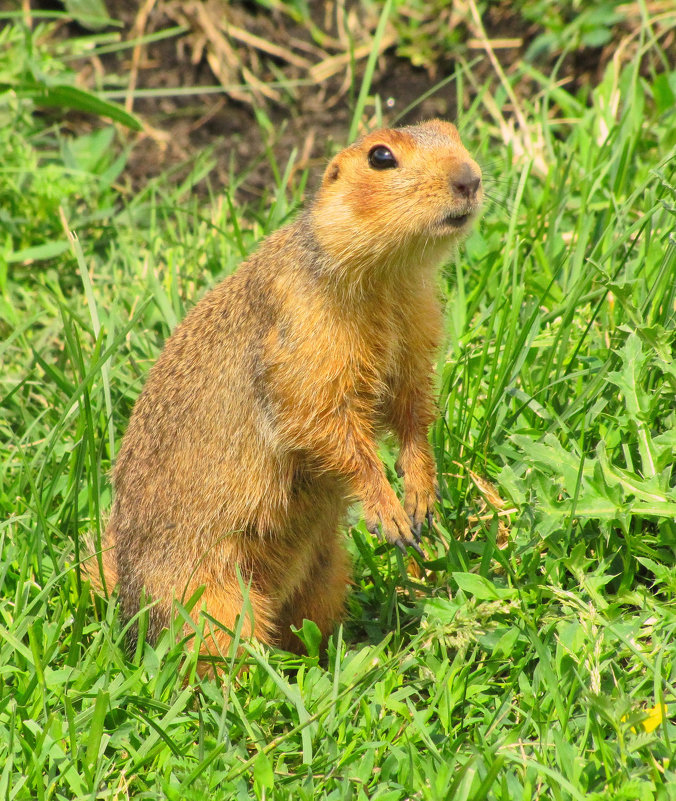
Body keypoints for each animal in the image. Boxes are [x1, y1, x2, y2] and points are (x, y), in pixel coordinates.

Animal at [93, 117, 480, 664]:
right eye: (381, 156)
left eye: (452, 130)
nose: (470, 178)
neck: (390, 281)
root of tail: (126, 601)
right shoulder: (305, 339)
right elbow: (323, 422)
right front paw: (388, 512)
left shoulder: (416, 335)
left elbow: (412, 410)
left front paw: (421, 494)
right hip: (210, 596)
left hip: (328, 572)